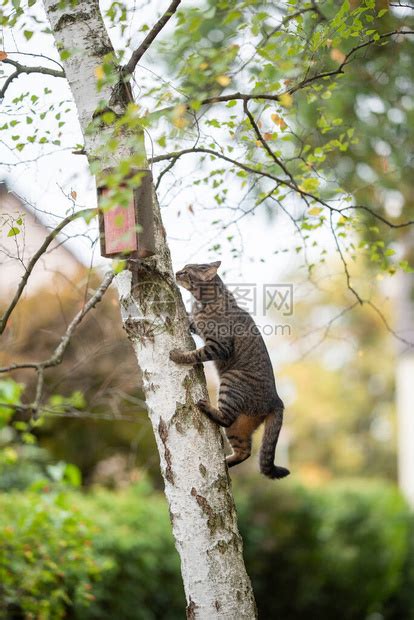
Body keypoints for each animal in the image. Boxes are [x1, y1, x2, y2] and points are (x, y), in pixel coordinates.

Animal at [170, 260, 290, 478]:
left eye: (186, 271)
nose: (176, 272)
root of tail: (277, 399)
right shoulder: (199, 328)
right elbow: (192, 322)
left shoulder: (219, 346)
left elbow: (195, 354)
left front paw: (179, 356)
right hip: (239, 426)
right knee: (245, 451)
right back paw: (225, 465)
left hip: (231, 380)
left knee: (226, 419)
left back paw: (207, 408)